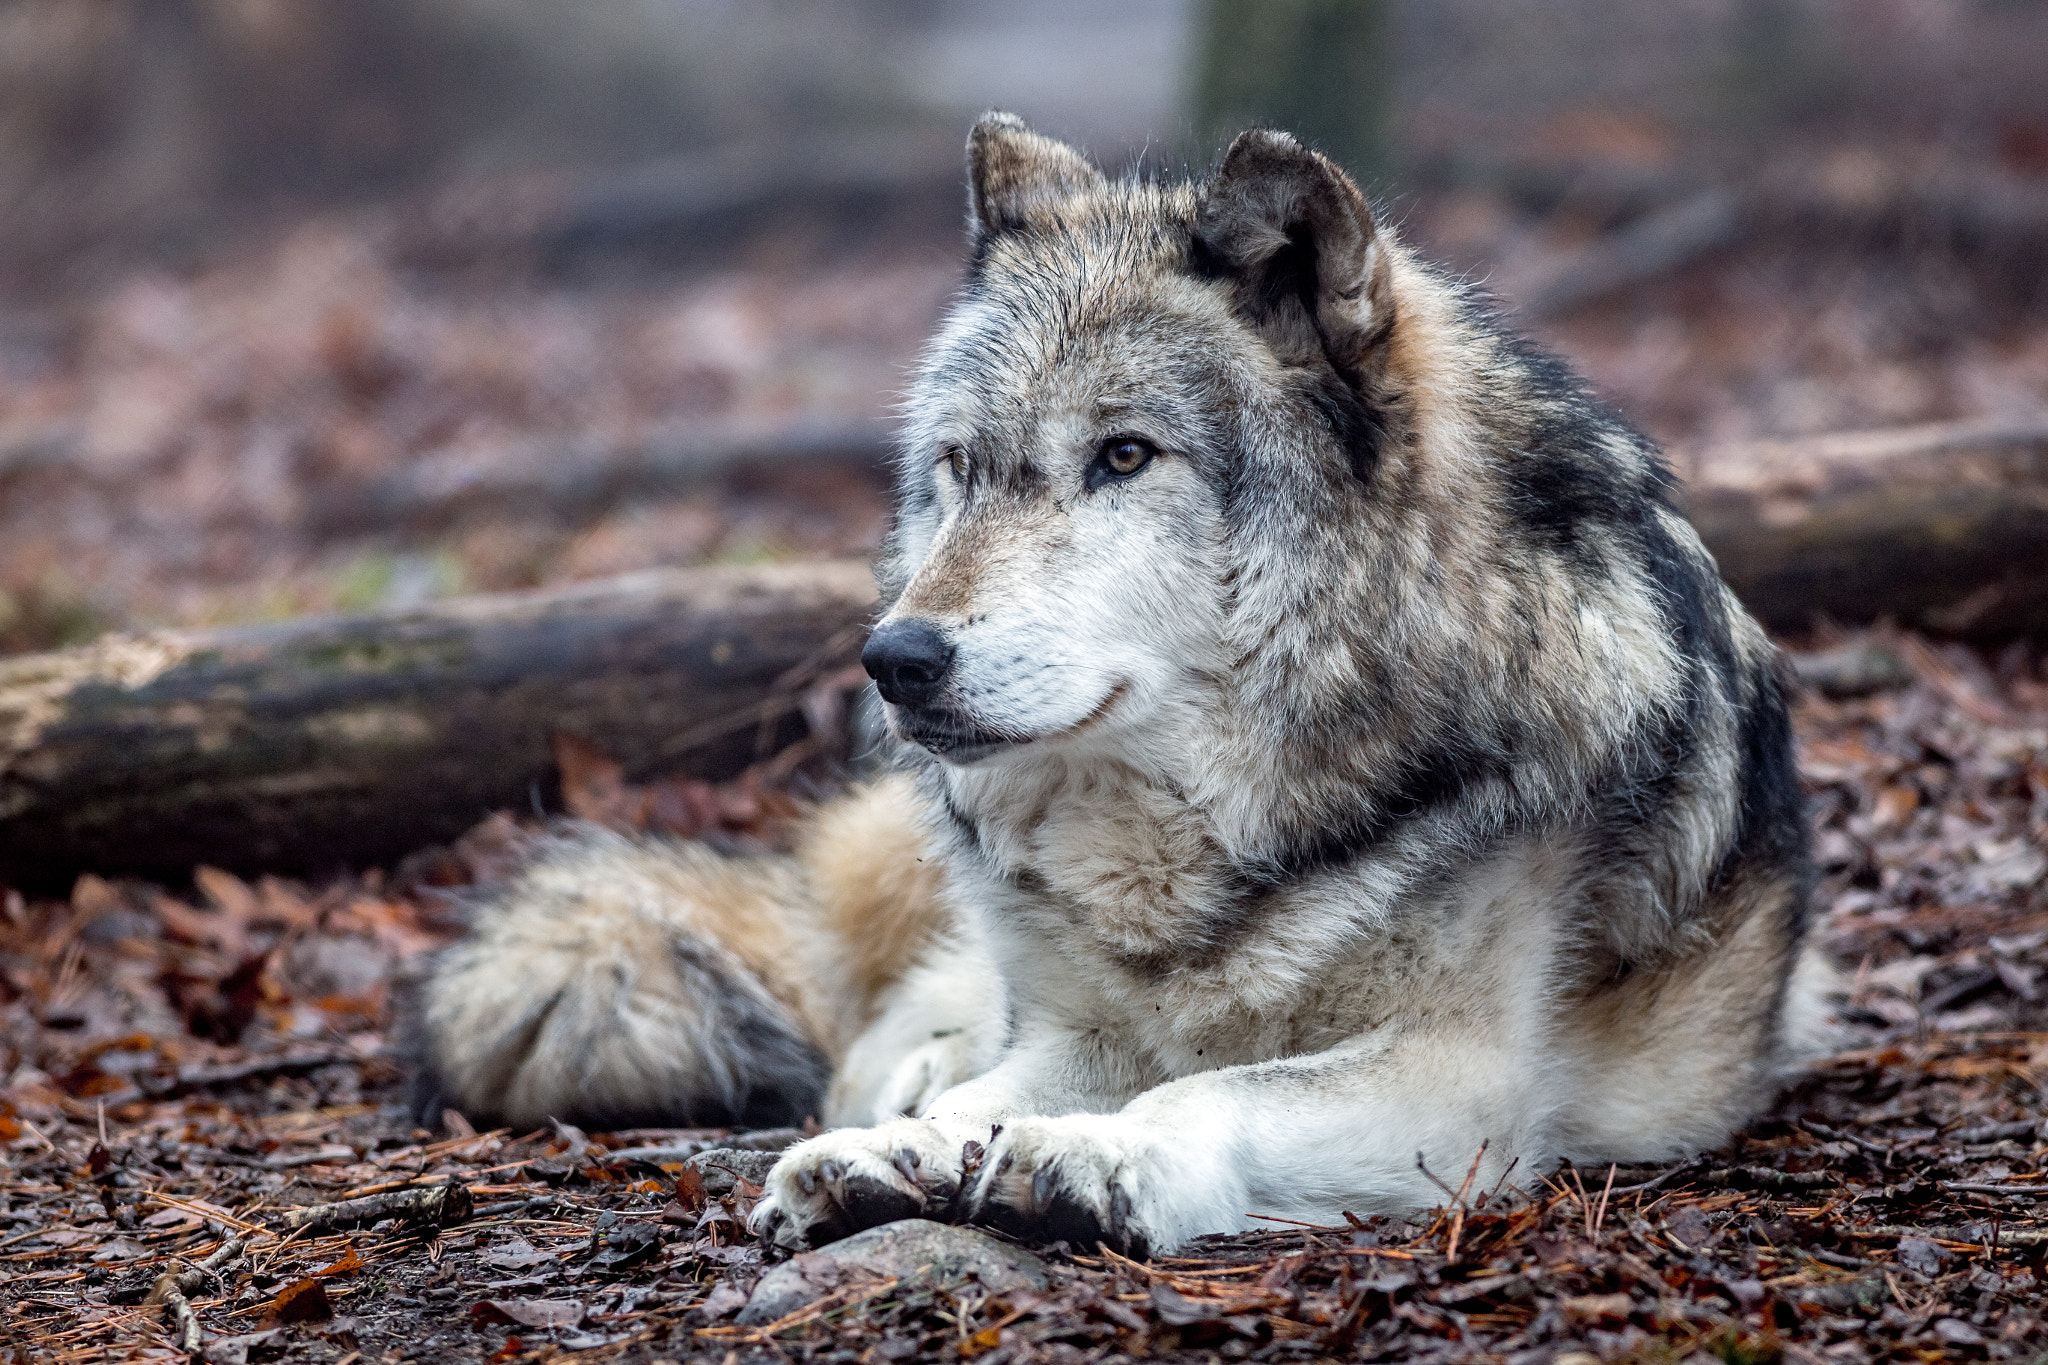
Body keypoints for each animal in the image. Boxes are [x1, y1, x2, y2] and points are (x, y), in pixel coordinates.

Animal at [411, 114, 1826, 1260]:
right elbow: (992, 1092)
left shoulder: (1460, 1074)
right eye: (960, 466)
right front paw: (899, 1152)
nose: (896, 660)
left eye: (1126, 456)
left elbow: (1218, 1088)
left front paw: (1105, 1154)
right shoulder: (1077, 1031)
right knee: (892, 1029)